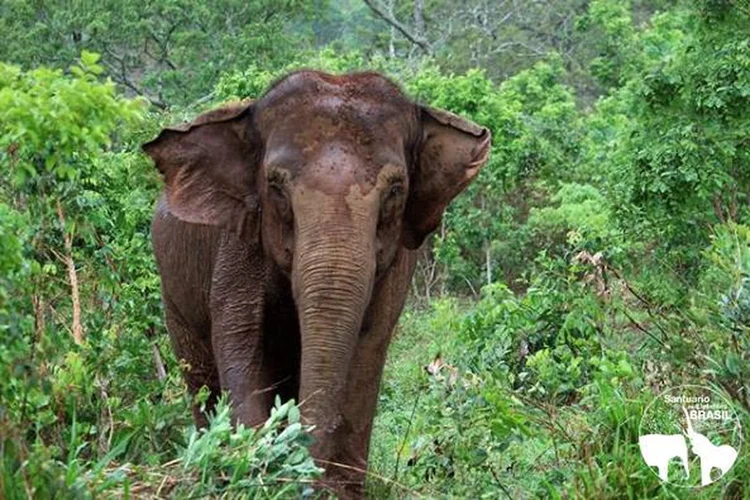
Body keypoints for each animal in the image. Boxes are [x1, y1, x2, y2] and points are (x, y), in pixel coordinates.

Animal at [144, 70, 494, 496]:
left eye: (395, 190)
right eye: (275, 187)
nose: (306, 477)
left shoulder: (397, 264)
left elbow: (368, 348)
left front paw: (337, 488)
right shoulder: (239, 244)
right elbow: (241, 341)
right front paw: (257, 470)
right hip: (173, 297)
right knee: (201, 379)